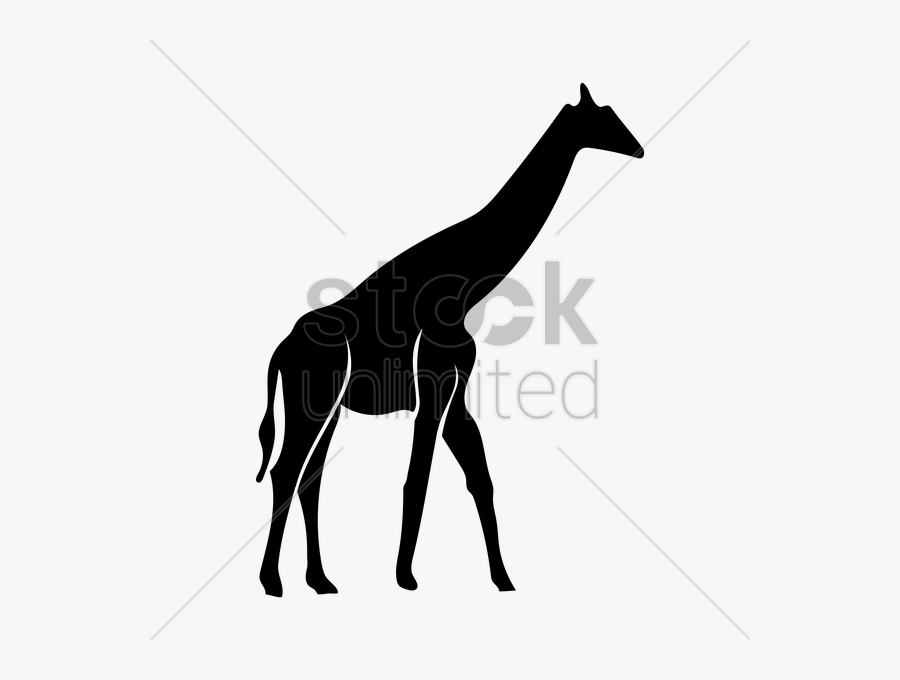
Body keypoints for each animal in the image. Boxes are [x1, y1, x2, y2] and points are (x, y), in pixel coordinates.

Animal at [256, 84, 644, 596]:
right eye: (606, 118)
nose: (639, 148)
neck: (465, 284)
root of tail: (281, 348)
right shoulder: (432, 381)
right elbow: (417, 478)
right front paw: (405, 577)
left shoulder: (456, 386)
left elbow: (480, 477)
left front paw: (503, 579)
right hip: (315, 397)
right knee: (286, 470)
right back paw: (272, 582)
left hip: (328, 403)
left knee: (310, 476)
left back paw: (320, 580)